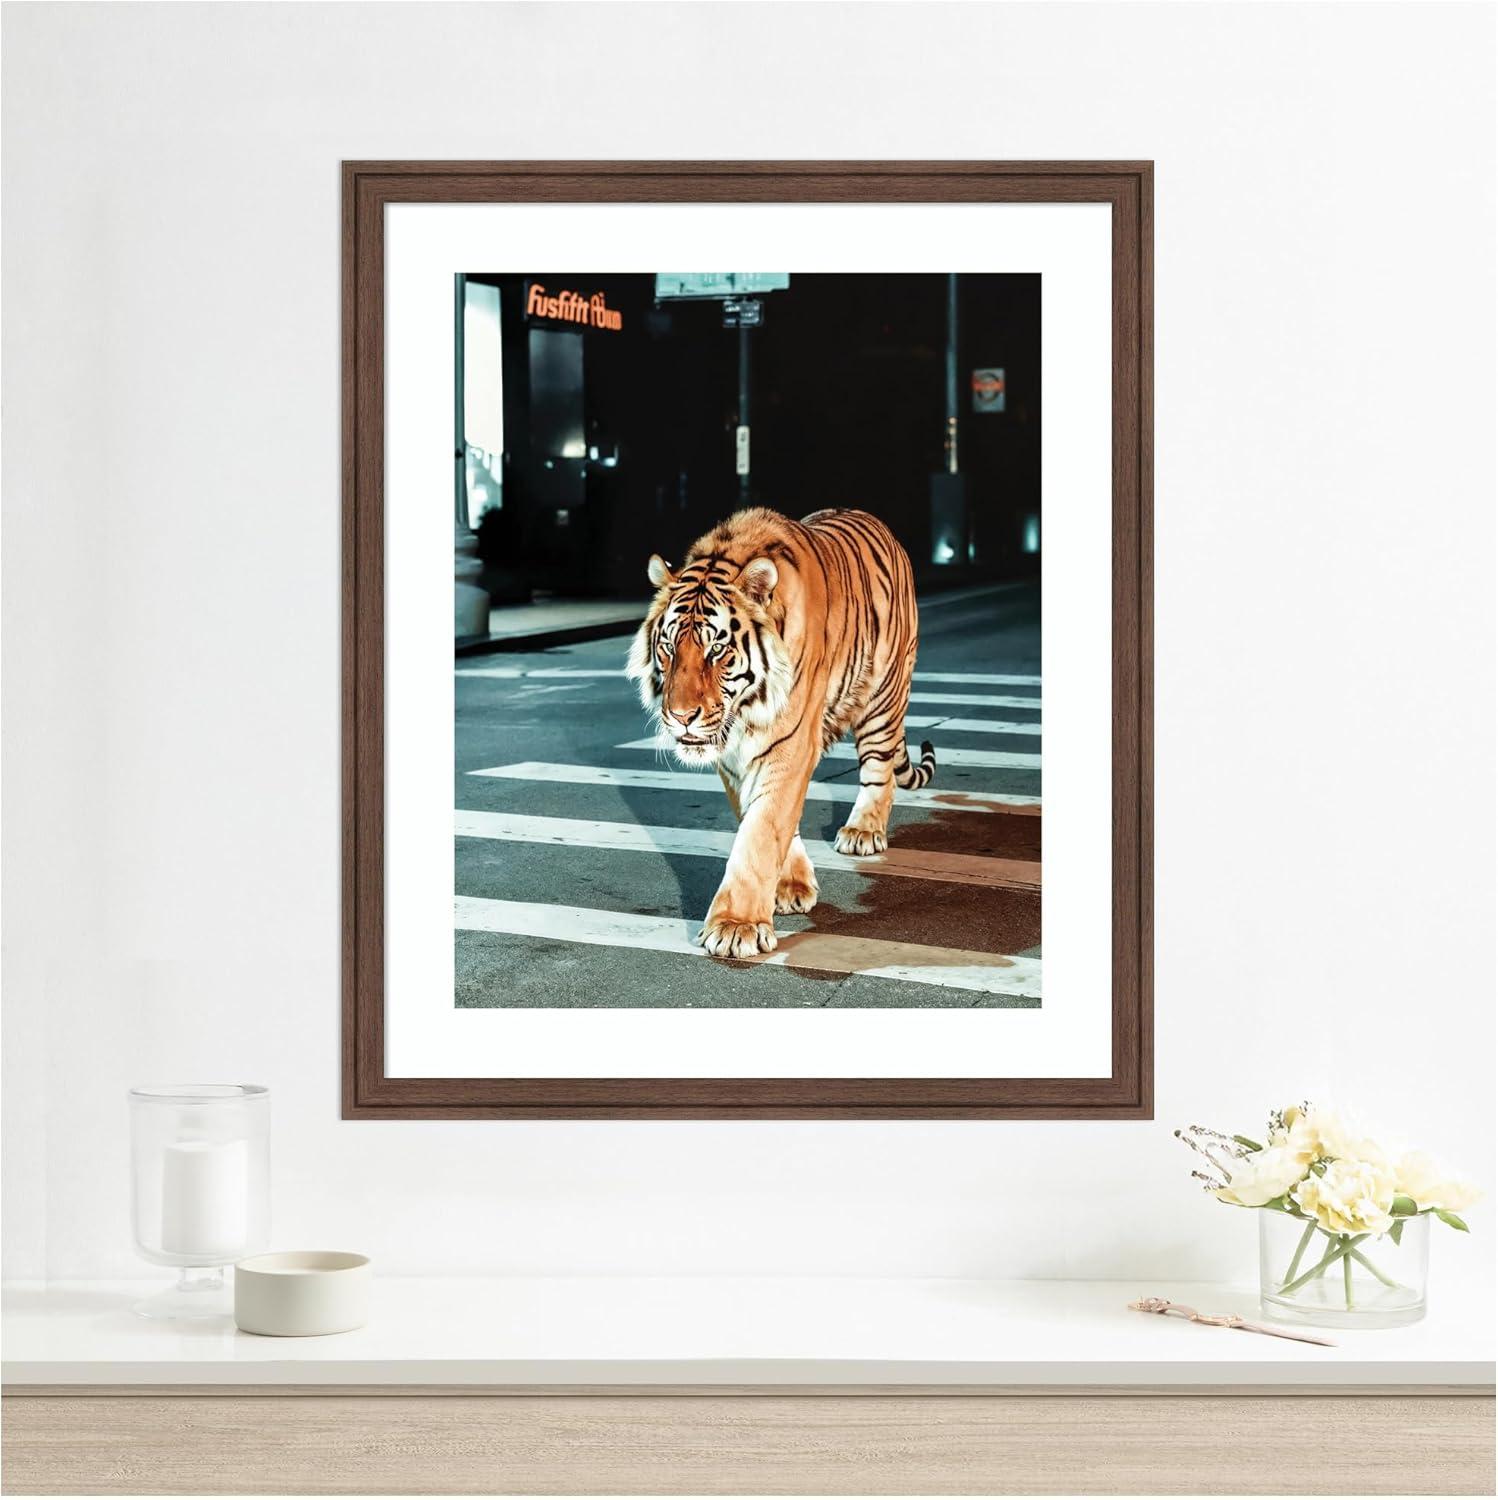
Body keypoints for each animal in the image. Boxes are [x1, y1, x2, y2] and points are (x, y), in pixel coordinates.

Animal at [626, 506, 935, 959]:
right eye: (668, 647)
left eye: (716, 650)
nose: (681, 716)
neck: (744, 711)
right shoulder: (733, 758)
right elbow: (765, 819)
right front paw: (789, 886)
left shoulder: (789, 743)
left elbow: (762, 830)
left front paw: (735, 926)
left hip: (883, 696)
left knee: (880, 771)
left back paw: (863, 831)